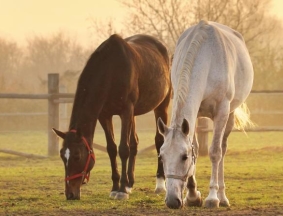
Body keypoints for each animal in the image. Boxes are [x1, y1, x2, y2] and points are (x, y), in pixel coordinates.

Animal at [52, 34, 172, 201]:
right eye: (63, 156)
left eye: (77, 156)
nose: (70, 194)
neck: (111, 69)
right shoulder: (105, 115)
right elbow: (112, 149)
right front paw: (116, 187)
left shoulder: (126, 111)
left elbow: (123, 149)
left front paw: (121, 190)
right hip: (134, 114)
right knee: (134, 142)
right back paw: (130, 183)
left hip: (161, 106)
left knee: (159, 140)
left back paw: (160, 184)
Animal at [158, 20, 255, 209]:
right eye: (162, 157)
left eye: (184, 157)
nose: (172, 201)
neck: (206, 59)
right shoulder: (194, 116)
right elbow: (195, 146)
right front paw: (192, 196)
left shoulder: (222, 112)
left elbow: (215, 152)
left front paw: (212, 197)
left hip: (229, 115)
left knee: (222, 150)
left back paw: (222, 197)